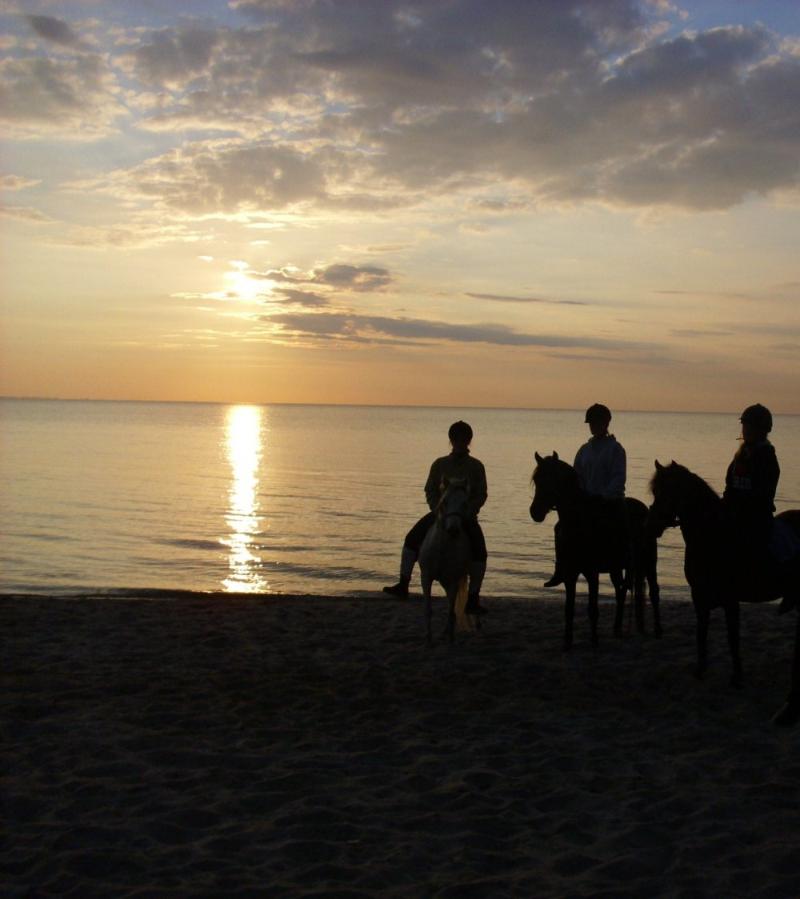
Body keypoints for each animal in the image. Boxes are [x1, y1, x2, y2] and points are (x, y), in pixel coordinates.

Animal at [418, 478, 476, 648]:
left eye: (465, 503)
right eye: (444, 501)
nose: (453, 529)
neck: (442, 549)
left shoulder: (453, 580)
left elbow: (451, 610)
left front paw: (451, 640)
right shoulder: (426, 577)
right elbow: (428, 609)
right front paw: (428, 638)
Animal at [528, 454, 660, 652]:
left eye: (552, 479)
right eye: (537, 480)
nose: (535, 512)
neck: (579, 522)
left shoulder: (592, 573)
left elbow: (593, 608)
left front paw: (594, 640)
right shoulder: (570, 574)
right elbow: (569, 609)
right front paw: (567, 642)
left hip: (649, 563)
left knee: (653, 592)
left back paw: (658, 629)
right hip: (617, 568)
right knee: (621, 592)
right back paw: (617, 629)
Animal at [648, 460, 800, 728]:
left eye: (669, 491)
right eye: (655, 492)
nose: (652, 524)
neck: (713, 536)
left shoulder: (731, 600)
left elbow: (732, 638)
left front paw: (737, 677)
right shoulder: (699, 597)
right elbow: (701, 633)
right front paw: (700, 670)